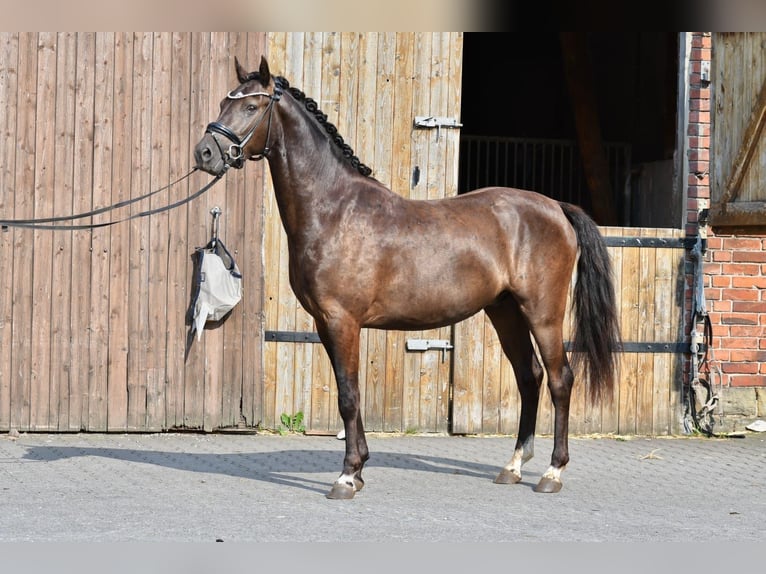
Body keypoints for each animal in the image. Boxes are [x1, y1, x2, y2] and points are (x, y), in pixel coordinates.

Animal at [194, 56, 621, 499]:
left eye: (250, 106)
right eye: (225, 101)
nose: (204, 152)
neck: (334, 208)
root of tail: (556, 207)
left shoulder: (342, 321)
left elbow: (348, 396)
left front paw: (346, 477)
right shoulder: (326, 324)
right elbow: (350, 392)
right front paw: (359, 469)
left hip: (543, 313)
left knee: (559, 379)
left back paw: (553, 472)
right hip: (505, 311)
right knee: (529, 377)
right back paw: (514, 466)